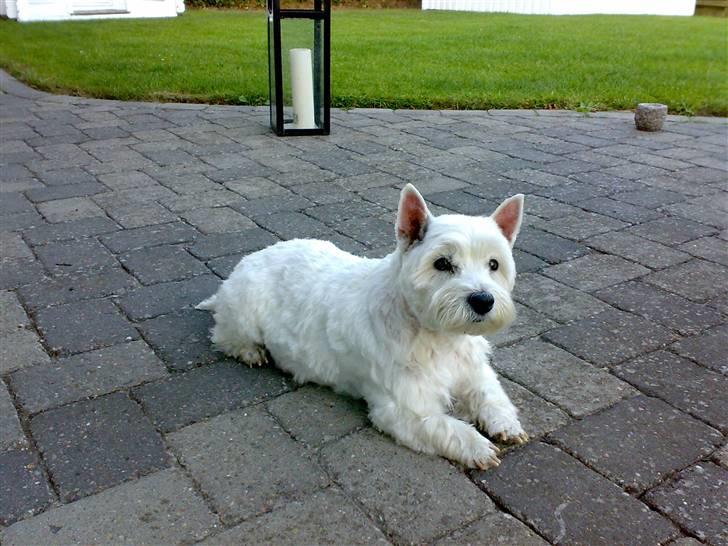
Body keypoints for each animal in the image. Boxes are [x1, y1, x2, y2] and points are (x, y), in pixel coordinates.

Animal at [199, 184, 528, 468]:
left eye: (494, 264)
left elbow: (490, 394)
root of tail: (251, 258)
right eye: (442, 263)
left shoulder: (472, 370)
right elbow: (446, 427)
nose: (483, 301)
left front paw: (507, 424)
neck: (438, 336)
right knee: (223, 335)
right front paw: (477, 446)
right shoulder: (403, 409)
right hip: (244, 313)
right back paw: (251, 352)